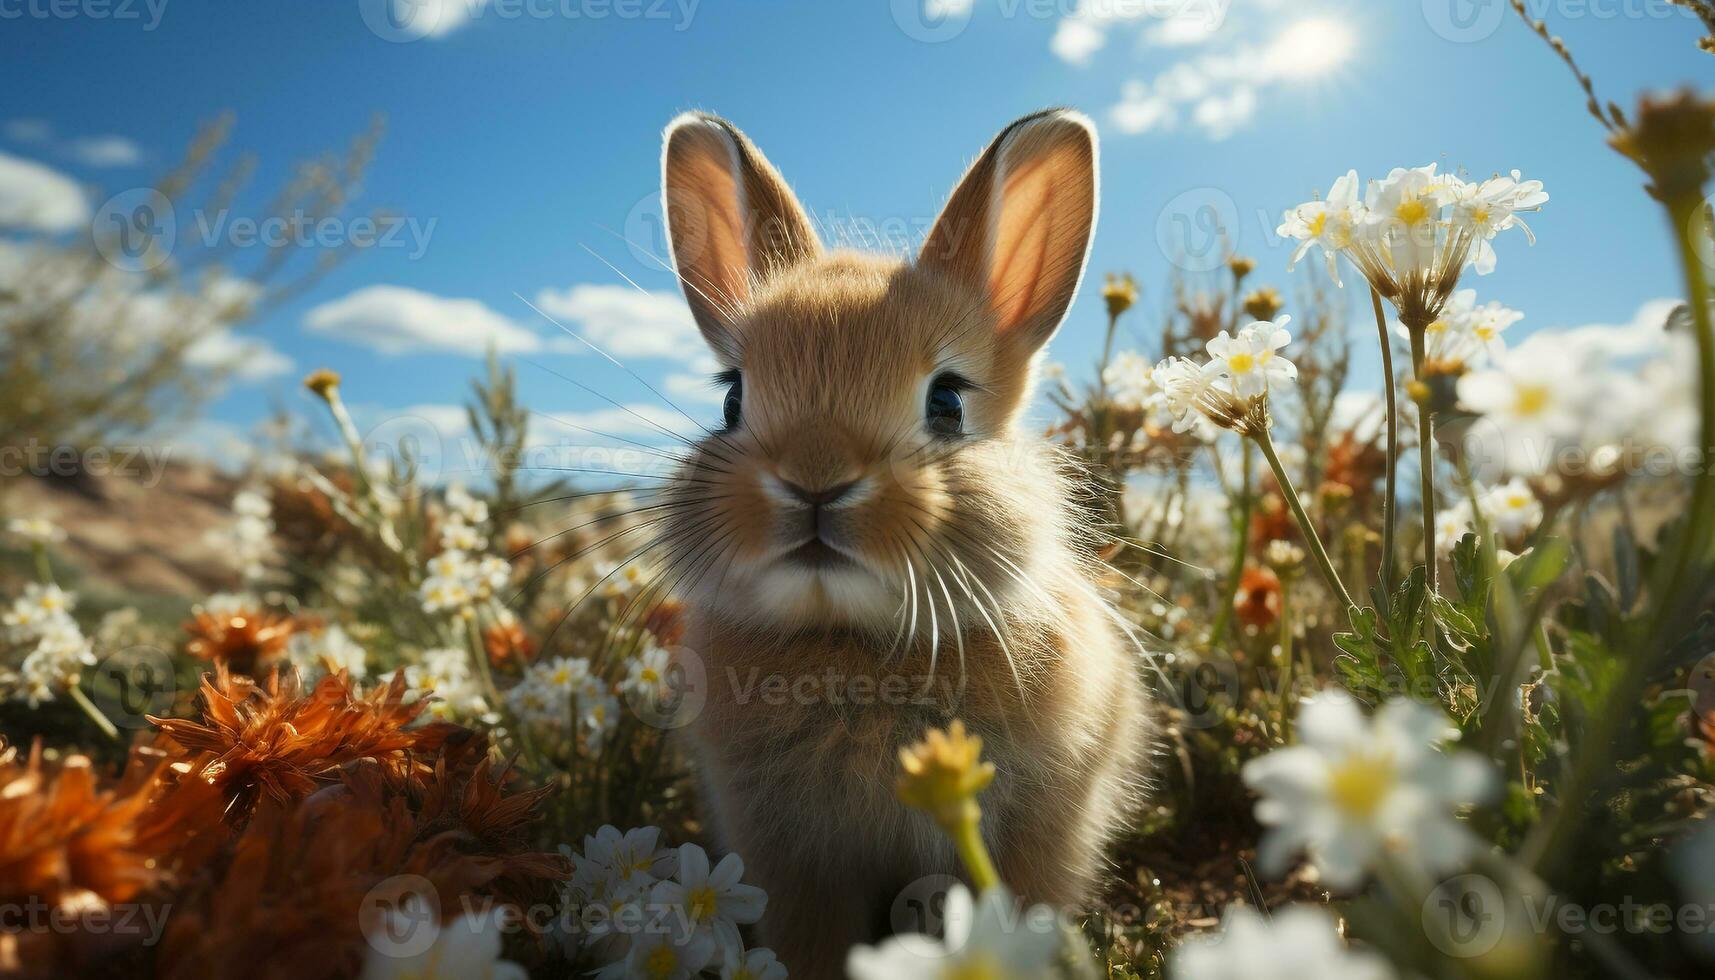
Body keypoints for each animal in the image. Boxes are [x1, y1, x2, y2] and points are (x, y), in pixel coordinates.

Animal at [655, 109, 1152, 980]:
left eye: (947, 402)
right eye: (730, 400)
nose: (815, 482)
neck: (854, 643)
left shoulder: (1047, 819)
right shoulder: (786, 856)